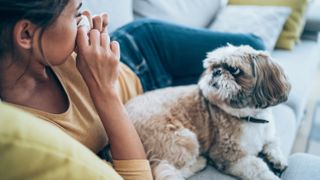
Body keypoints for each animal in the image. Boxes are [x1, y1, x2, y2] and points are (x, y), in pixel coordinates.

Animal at [126, 44, 292, 179]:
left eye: (234, 69)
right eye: (212, 67)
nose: (216, 71)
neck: (249, 117)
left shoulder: (268, 133)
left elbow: (273, 142)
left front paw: (278, 158)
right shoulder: (228, 155)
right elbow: (258, 168)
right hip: (184, 139)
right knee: (167, 170)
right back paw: (199, 162)